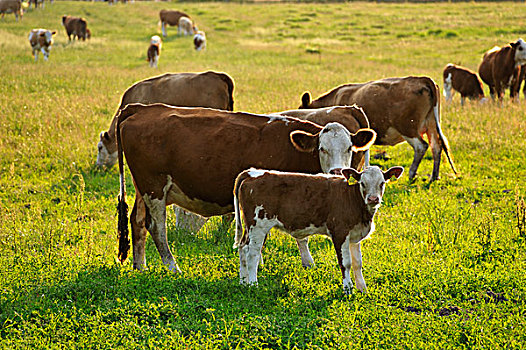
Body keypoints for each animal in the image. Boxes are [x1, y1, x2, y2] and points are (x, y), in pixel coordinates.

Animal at [117, 102, 378, 272]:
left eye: (349, 148)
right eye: (321, 148)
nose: (336, 172)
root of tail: (142, 108)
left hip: (144, 189)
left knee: (137, 221)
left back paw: (140, 266)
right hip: (154, 187)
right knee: (156, 227)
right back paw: (173, 267)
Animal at [235, 165, 404, 294]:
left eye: (382, 183)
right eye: (362, 183)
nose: (373, 199)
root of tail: (252, 172)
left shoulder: (355, 236)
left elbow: (358, 263)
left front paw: (362, 289)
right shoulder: (339, 233)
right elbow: (346, 263)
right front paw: (348, 289)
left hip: (251, 227)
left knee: (243, 248)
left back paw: (243, 282)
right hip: (258, 226)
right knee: (252, 254)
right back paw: (253, 284)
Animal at [302, 75, 458, 182]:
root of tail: (422, 79)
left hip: (408, 128)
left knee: (421, 146)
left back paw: (411, 173)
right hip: (431, 124)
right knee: (436, 146)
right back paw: (434, 176)